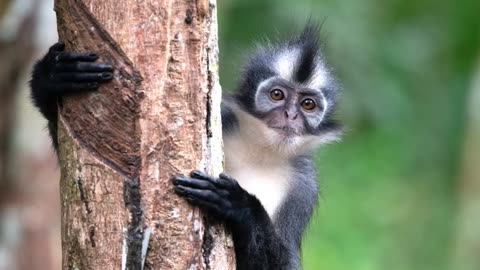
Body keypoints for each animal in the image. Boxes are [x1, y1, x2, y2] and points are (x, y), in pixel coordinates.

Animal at [29, 24, 342, 268]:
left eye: (308, 104)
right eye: (277, 95)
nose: (290, 115)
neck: (259, 152)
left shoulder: (303, 185)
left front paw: (240, 206)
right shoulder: (225, 123)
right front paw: (53, 76)